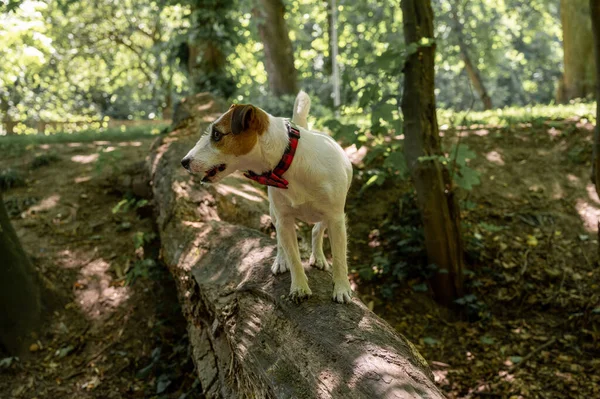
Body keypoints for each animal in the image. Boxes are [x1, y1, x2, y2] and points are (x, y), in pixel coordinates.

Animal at [180, 90, 354, 304]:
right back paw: (281, 260)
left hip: (329, 213)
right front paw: (299, 287)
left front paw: (342, 288)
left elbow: (339, 257)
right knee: (281, 240)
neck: (288, 161)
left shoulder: (336, 219)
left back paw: (319, 257)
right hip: (274, 212)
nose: (184, 162)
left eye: (217, 134)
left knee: (317, 230)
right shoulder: (284, 219)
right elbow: (294, 257)